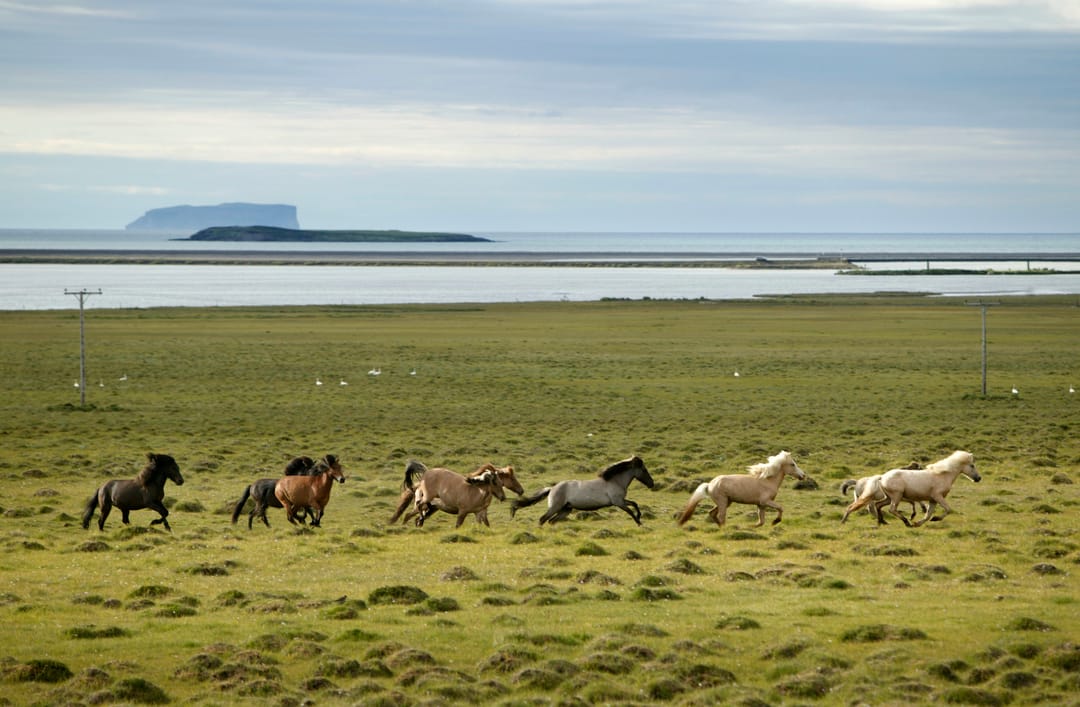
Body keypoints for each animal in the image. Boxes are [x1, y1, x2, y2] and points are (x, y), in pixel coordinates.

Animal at [389, 460, 524, 527]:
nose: (503, 497)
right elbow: (458, 525)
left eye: (501, 482)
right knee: (415, 508)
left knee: (414, 515)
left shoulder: (480, 513)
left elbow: (485, 525)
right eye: (495, 482)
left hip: (432, 507)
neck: (476, 492)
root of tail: (424, 475)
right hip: (427, 498)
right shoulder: (462, 512)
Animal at [509, 455, 654, 526]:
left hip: (566, 510)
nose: (652, 484)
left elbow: (635, 503)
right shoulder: (618, 502)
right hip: (555, 507)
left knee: (551, 521)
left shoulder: (621, 501)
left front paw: (639, 518)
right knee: (543, 519)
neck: (614, 481)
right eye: (644, 470)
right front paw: (639, 522)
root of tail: (552, 488)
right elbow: (630, 510)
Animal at [676, 450, 805, 528]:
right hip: (723, 502)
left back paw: (720, 527)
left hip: (726, 502)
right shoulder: (766, 501)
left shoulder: (761, 505)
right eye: (792, 464)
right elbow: (780, 508)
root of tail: (710, 484)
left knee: (712, 513)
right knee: (721, 516)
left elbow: (761, 521)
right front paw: (775, 521)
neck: (768, 481)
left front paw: (752, 527)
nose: (803, 475)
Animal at [842, 450, 979, 527]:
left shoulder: (932, 500)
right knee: (891, 509)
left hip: (889, 497)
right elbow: (947, 509)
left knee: (878, 505)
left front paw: (918, 523)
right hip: (896, 496)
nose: (978, 478)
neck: (943, 475)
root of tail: (882, 477)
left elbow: (928, 514)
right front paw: (935, 519)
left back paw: (882, 522)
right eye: (972, 465)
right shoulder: (938, 497)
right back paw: (905, 522)